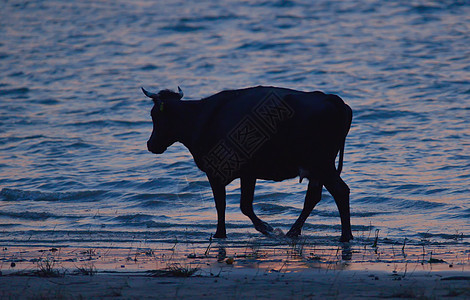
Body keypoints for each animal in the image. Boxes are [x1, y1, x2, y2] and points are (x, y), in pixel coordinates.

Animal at [143, 84, 352, 241]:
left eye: (154, 115)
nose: (150, 144)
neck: (198, 118)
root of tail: (331, 98)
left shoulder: (215, 172)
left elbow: (221, 203)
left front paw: (221, 234)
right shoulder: (248, 173)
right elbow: (245, 205)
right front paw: (265, 228)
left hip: (321, 164)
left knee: (340, 191)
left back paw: (345, 236)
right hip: (317, 168)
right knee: (314, 197)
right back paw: (294, 232)